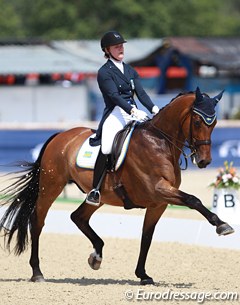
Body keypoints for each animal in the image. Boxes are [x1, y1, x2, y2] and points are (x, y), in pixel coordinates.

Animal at [0, 86, 234, 284]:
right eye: (197, 122)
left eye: (214, 124)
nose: (204, 161)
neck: (160, 142)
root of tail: (60, 135)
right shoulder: (159, 189)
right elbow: (194, 200)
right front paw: (222, 225)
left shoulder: (158, 203)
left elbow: (146, 238)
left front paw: (143, 275)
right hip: (51, 187)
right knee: (37, 222)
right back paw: (37, 272)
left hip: (99, 195)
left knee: (78, 217)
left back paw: (96, 256)